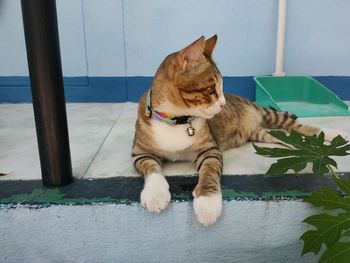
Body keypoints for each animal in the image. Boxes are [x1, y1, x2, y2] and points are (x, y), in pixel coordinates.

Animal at [133, 35, 346, 227]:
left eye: (220, 88)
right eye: (211, 89)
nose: (223, 103)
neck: (176, 120)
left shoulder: (210, 150)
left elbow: (210, 171)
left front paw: (208, 204)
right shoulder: (140, 152)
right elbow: (151, 167)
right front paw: (155, 194)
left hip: (268, 115)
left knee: (298, 126)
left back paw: (334, 134)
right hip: (263, 134)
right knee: (286, 137)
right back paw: (300, 147)